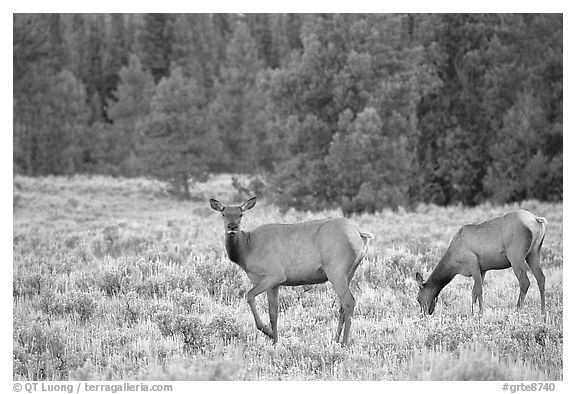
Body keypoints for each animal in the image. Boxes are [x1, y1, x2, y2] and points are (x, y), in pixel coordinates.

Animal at [208, 197, 374, 344]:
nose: (232, 227)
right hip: (350, 272)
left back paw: (344, 343)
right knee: (342, 306)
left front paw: (267, 332)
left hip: (336, 270)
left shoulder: (275, 274)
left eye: (240, 214)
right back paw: (335, 341)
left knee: (349, 302)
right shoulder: (274, 284)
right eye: (223, 214)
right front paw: (275, 342)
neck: (246, 251)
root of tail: (359, 234)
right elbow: (273, 313)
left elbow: (249, 295)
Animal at [416, 211, 548, 316]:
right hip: (534, 252)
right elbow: (474, 291)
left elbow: (478, 290)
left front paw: (480, 313)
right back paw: (543, 312)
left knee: (525, 281)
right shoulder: (482, 269)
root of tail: (536, 219)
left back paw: (517, 311)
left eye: (417, 298)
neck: (453, 264)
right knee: (541, 278)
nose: (423, 314)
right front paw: (473, 312)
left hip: (516, 255)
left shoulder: (473, 264)